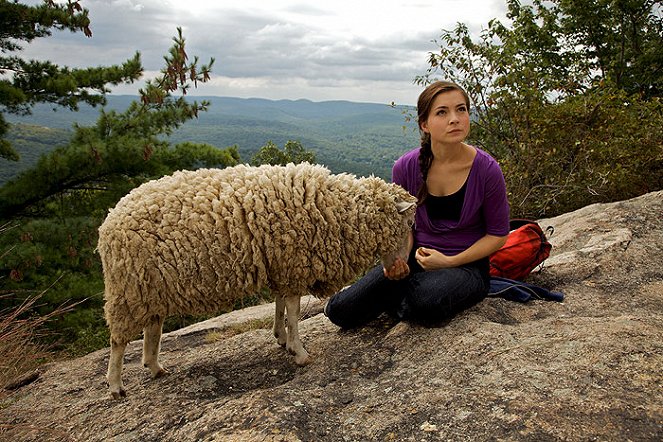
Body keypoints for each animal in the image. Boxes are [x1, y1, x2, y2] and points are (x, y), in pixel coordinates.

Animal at [98, 162, 416, 400]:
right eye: (409, 223)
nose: (405, 269)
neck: (333, 209)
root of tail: (110, 220)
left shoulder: (280, 265)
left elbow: (280, 305)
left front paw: (281, 338)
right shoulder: (292, 264)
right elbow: (294, 312)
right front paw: (299, 352)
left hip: (151, 286)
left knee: (152, 327)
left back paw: (154, 367)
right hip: (127, 287)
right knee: (118, 340)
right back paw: (115, 385)